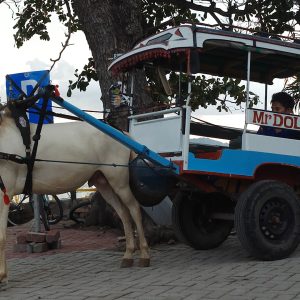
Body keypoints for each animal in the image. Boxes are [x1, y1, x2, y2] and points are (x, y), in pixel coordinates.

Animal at [0, 106, 150, 282]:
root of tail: (120, 132)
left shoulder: (4, 195)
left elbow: (1, 237)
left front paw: (2, 275)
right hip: (103, 182)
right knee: (124, 214)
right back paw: (128, 255)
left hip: (119, 181)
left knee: (134, 209)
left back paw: (144, 255)